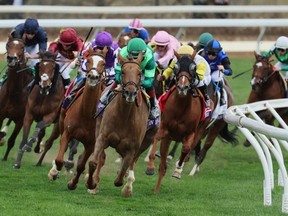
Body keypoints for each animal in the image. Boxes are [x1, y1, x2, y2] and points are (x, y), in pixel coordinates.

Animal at [47, 46, 107, 189]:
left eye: (103, 63)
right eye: (88, 60)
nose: (93, 77)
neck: (86, 113)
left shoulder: (92, 143)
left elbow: (81, 165)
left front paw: (75, 183)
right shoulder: (67, 132)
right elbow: (59, 159)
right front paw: (54, 172)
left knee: (100, 157)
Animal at [85, 52, 152, 197]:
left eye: (139, 73)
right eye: (122, 71)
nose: (130, 93)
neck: (124, 116)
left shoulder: (132, 147)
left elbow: (122, 172)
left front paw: (123, 182)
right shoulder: (102, 137)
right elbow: (94, 162)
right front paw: (91, 183)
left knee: (132, 162)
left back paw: (128, 187)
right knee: (101, 159)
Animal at [153, 50, 212, 192]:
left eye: (193, 68)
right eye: (175, 67)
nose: (182, 87)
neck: (181, 108)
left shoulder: (190, 133)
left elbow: (185, 149)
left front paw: (177, 170)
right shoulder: (164, 128)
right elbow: (156, 138)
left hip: (200, 130)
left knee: (189, 149)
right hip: (169, 137)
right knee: (162, 164)